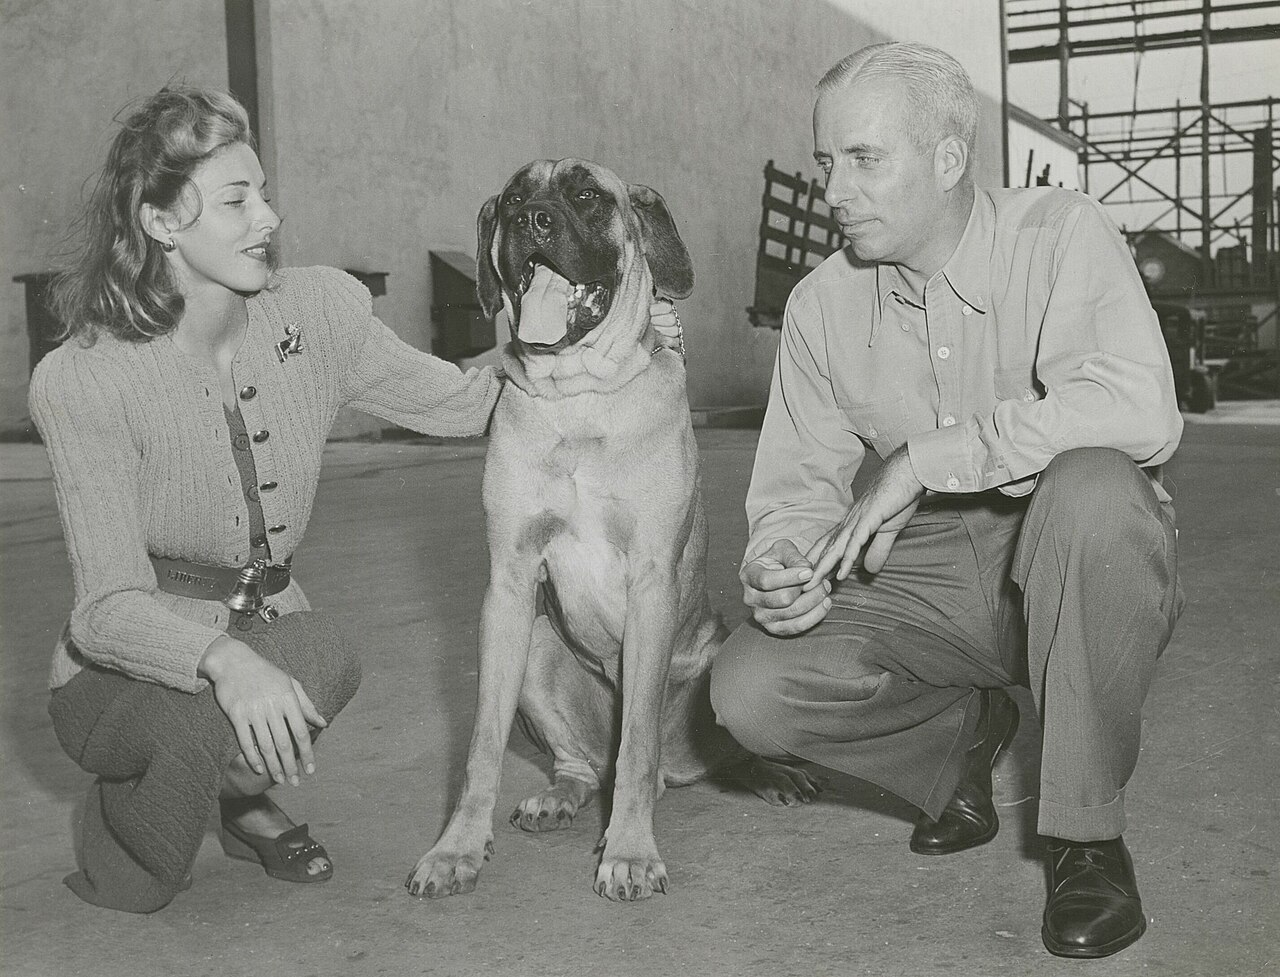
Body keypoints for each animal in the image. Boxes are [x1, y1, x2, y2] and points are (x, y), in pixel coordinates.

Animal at [404, 160, 814, 901]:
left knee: (676, 757)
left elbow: (638, 743)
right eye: (513, 196)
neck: (579, 402)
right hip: (540, 648)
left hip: (714, 658)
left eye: (586, 195)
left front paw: (628, 850)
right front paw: (456, 848)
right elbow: (480, 744)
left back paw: (767, 773)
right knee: (585, 764)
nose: (530, 219)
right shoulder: (508, 587)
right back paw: (558, 796)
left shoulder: (650, 584)